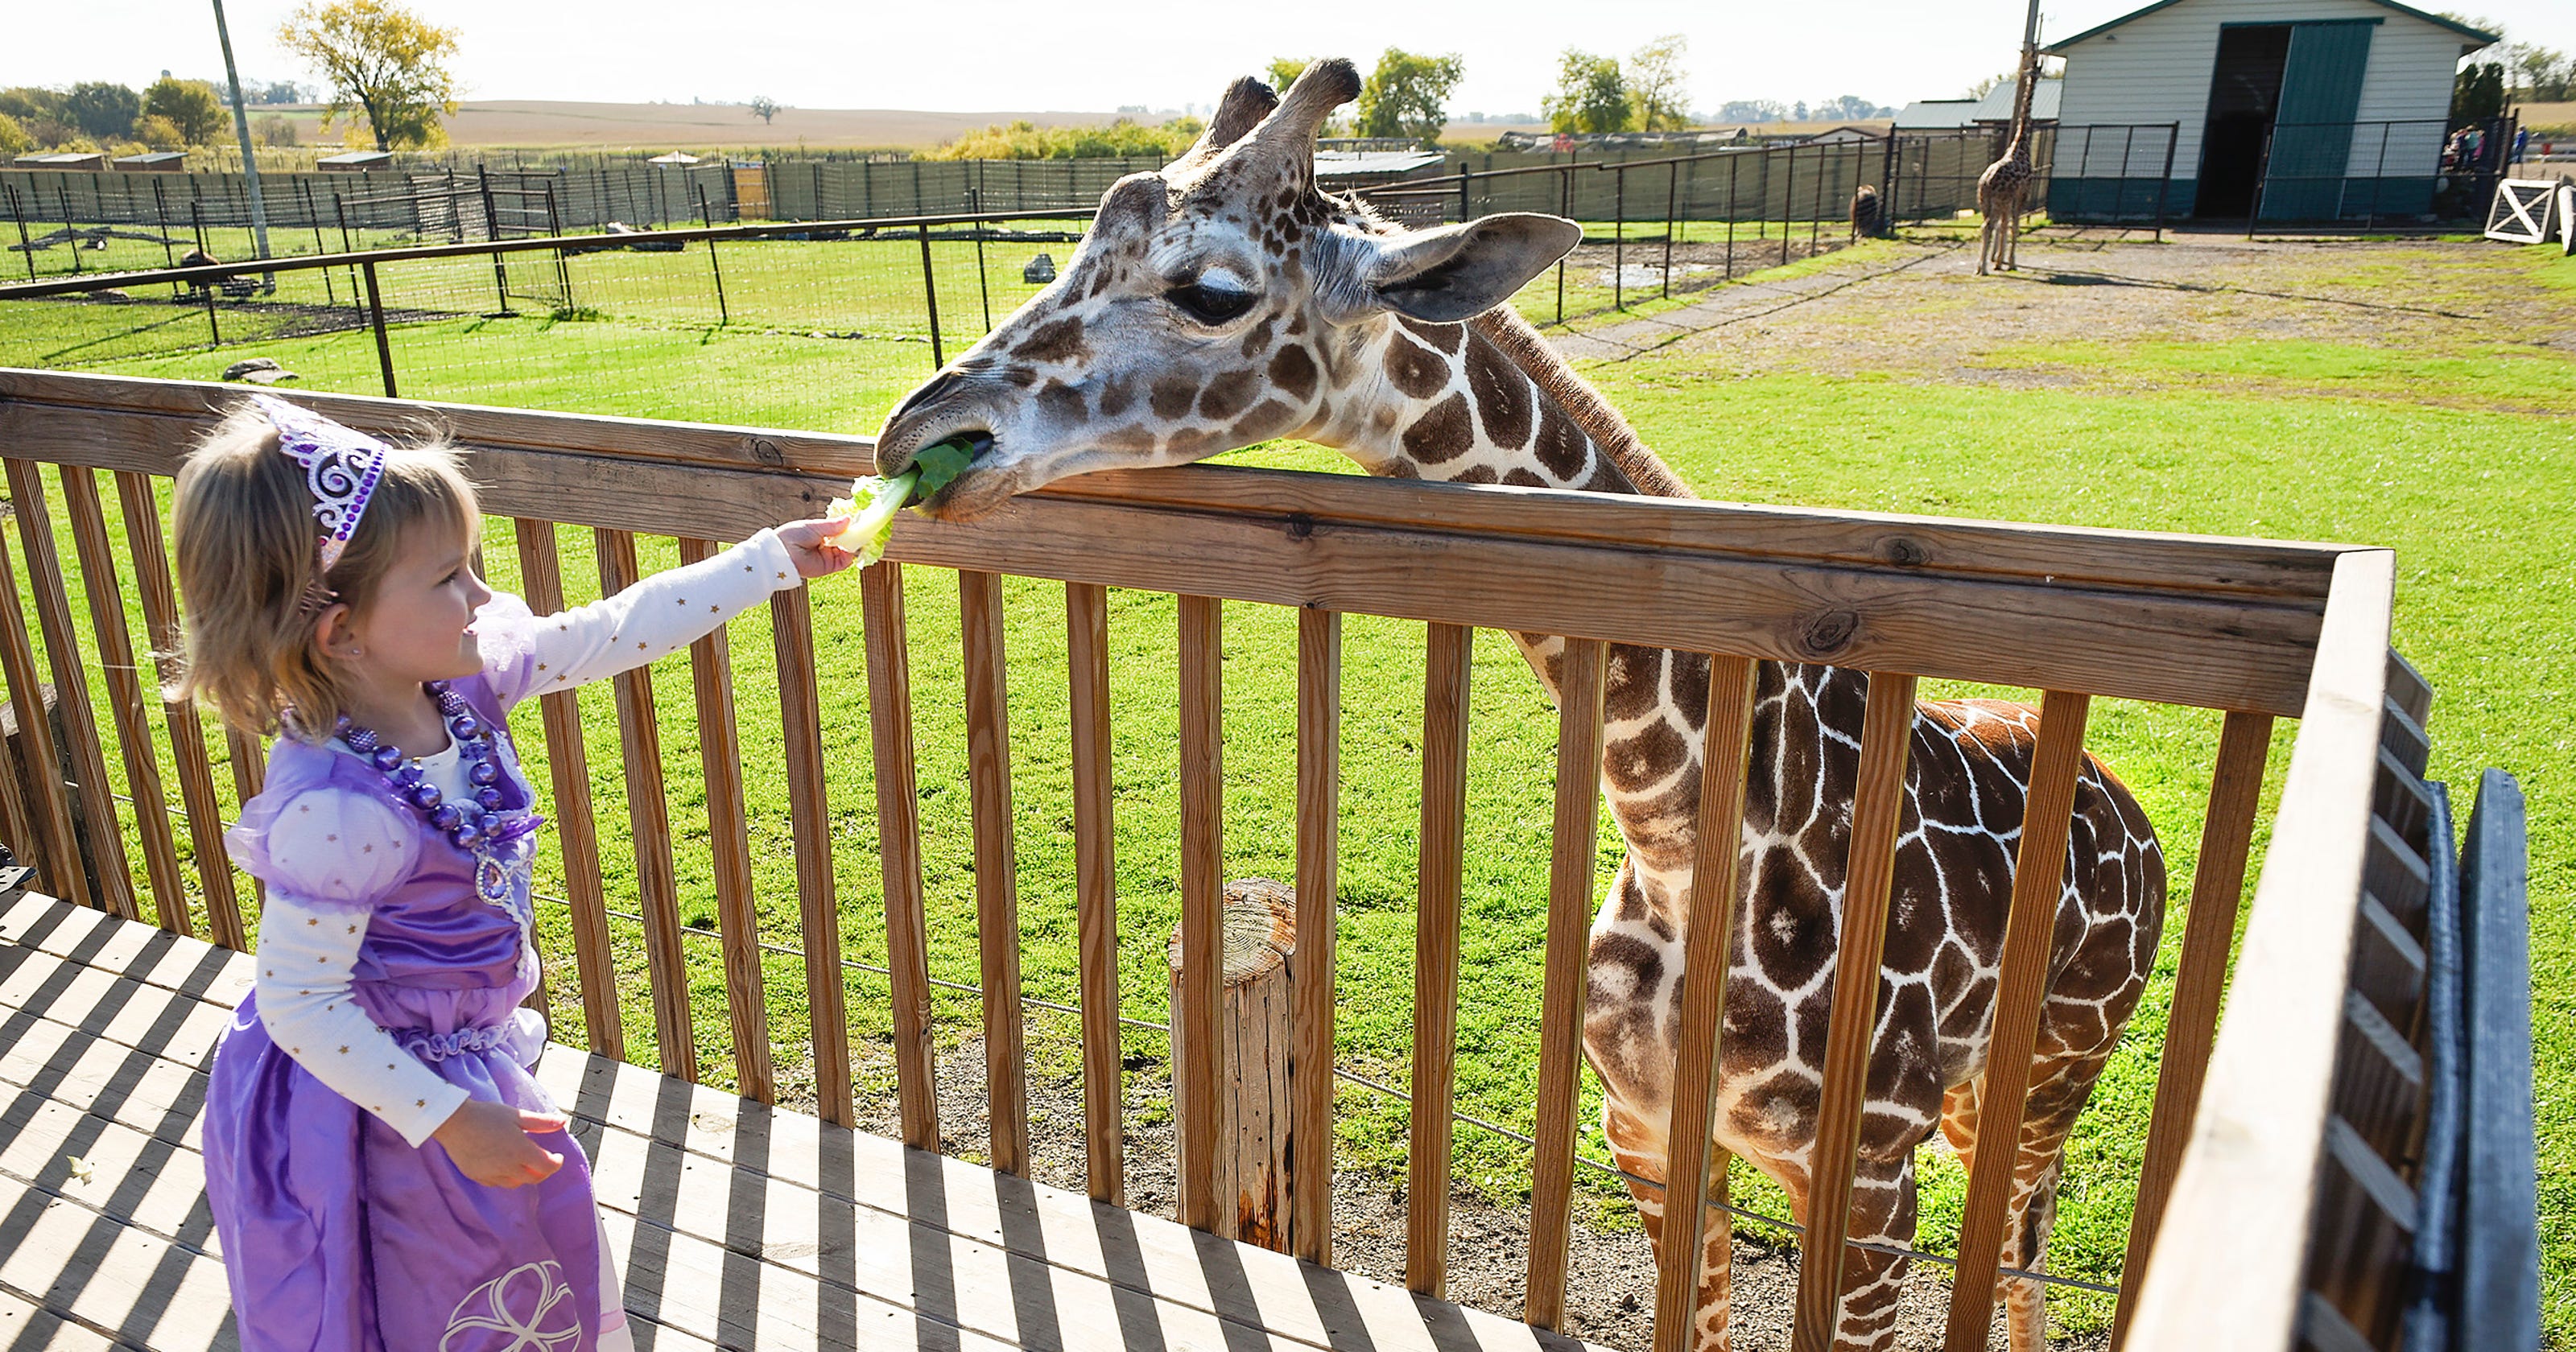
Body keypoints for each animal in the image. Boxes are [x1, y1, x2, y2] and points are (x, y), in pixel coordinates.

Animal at [876, 63, 2164, 1349]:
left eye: (1210, 293)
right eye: (1079, 243)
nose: (918, 432)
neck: (1683, 841)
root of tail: (2132, 813)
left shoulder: (1864, 1186)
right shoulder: (1648, 1138)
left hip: (2050, 1069)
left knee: (2025, 1243)